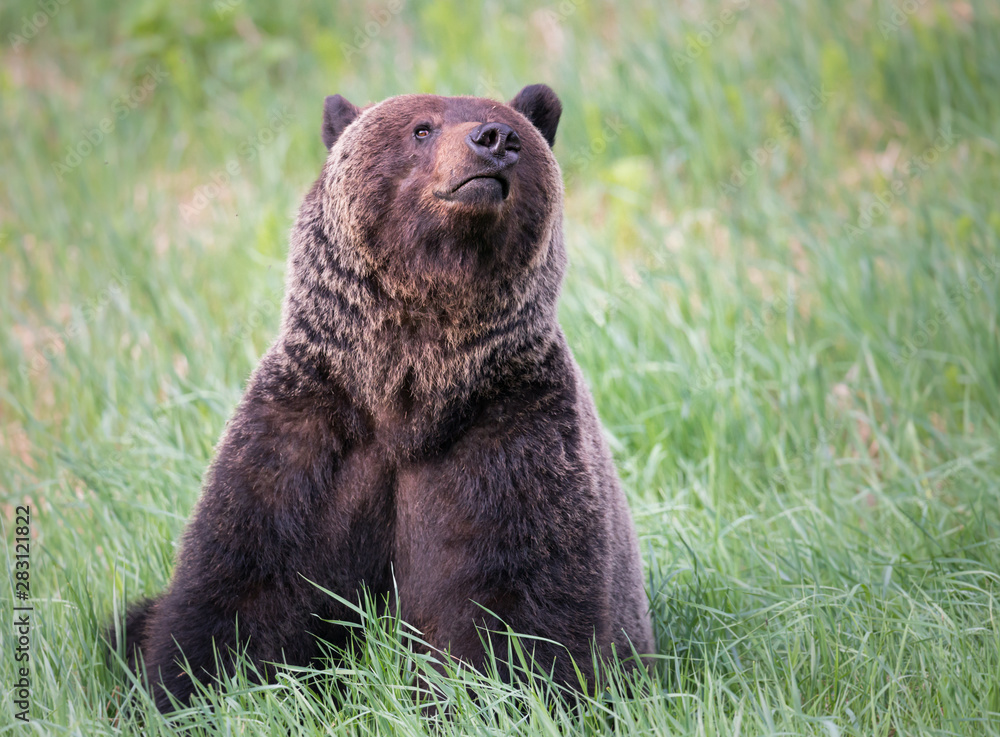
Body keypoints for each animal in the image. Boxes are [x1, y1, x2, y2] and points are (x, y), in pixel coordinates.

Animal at [110, 84, 654, 712]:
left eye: (510, 125)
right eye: (421, 128)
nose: (495, 140)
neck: (407, 393)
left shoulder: (512, 431)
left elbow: (521, 604)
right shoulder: (309, 434)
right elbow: (243, 583)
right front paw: (191, 690)